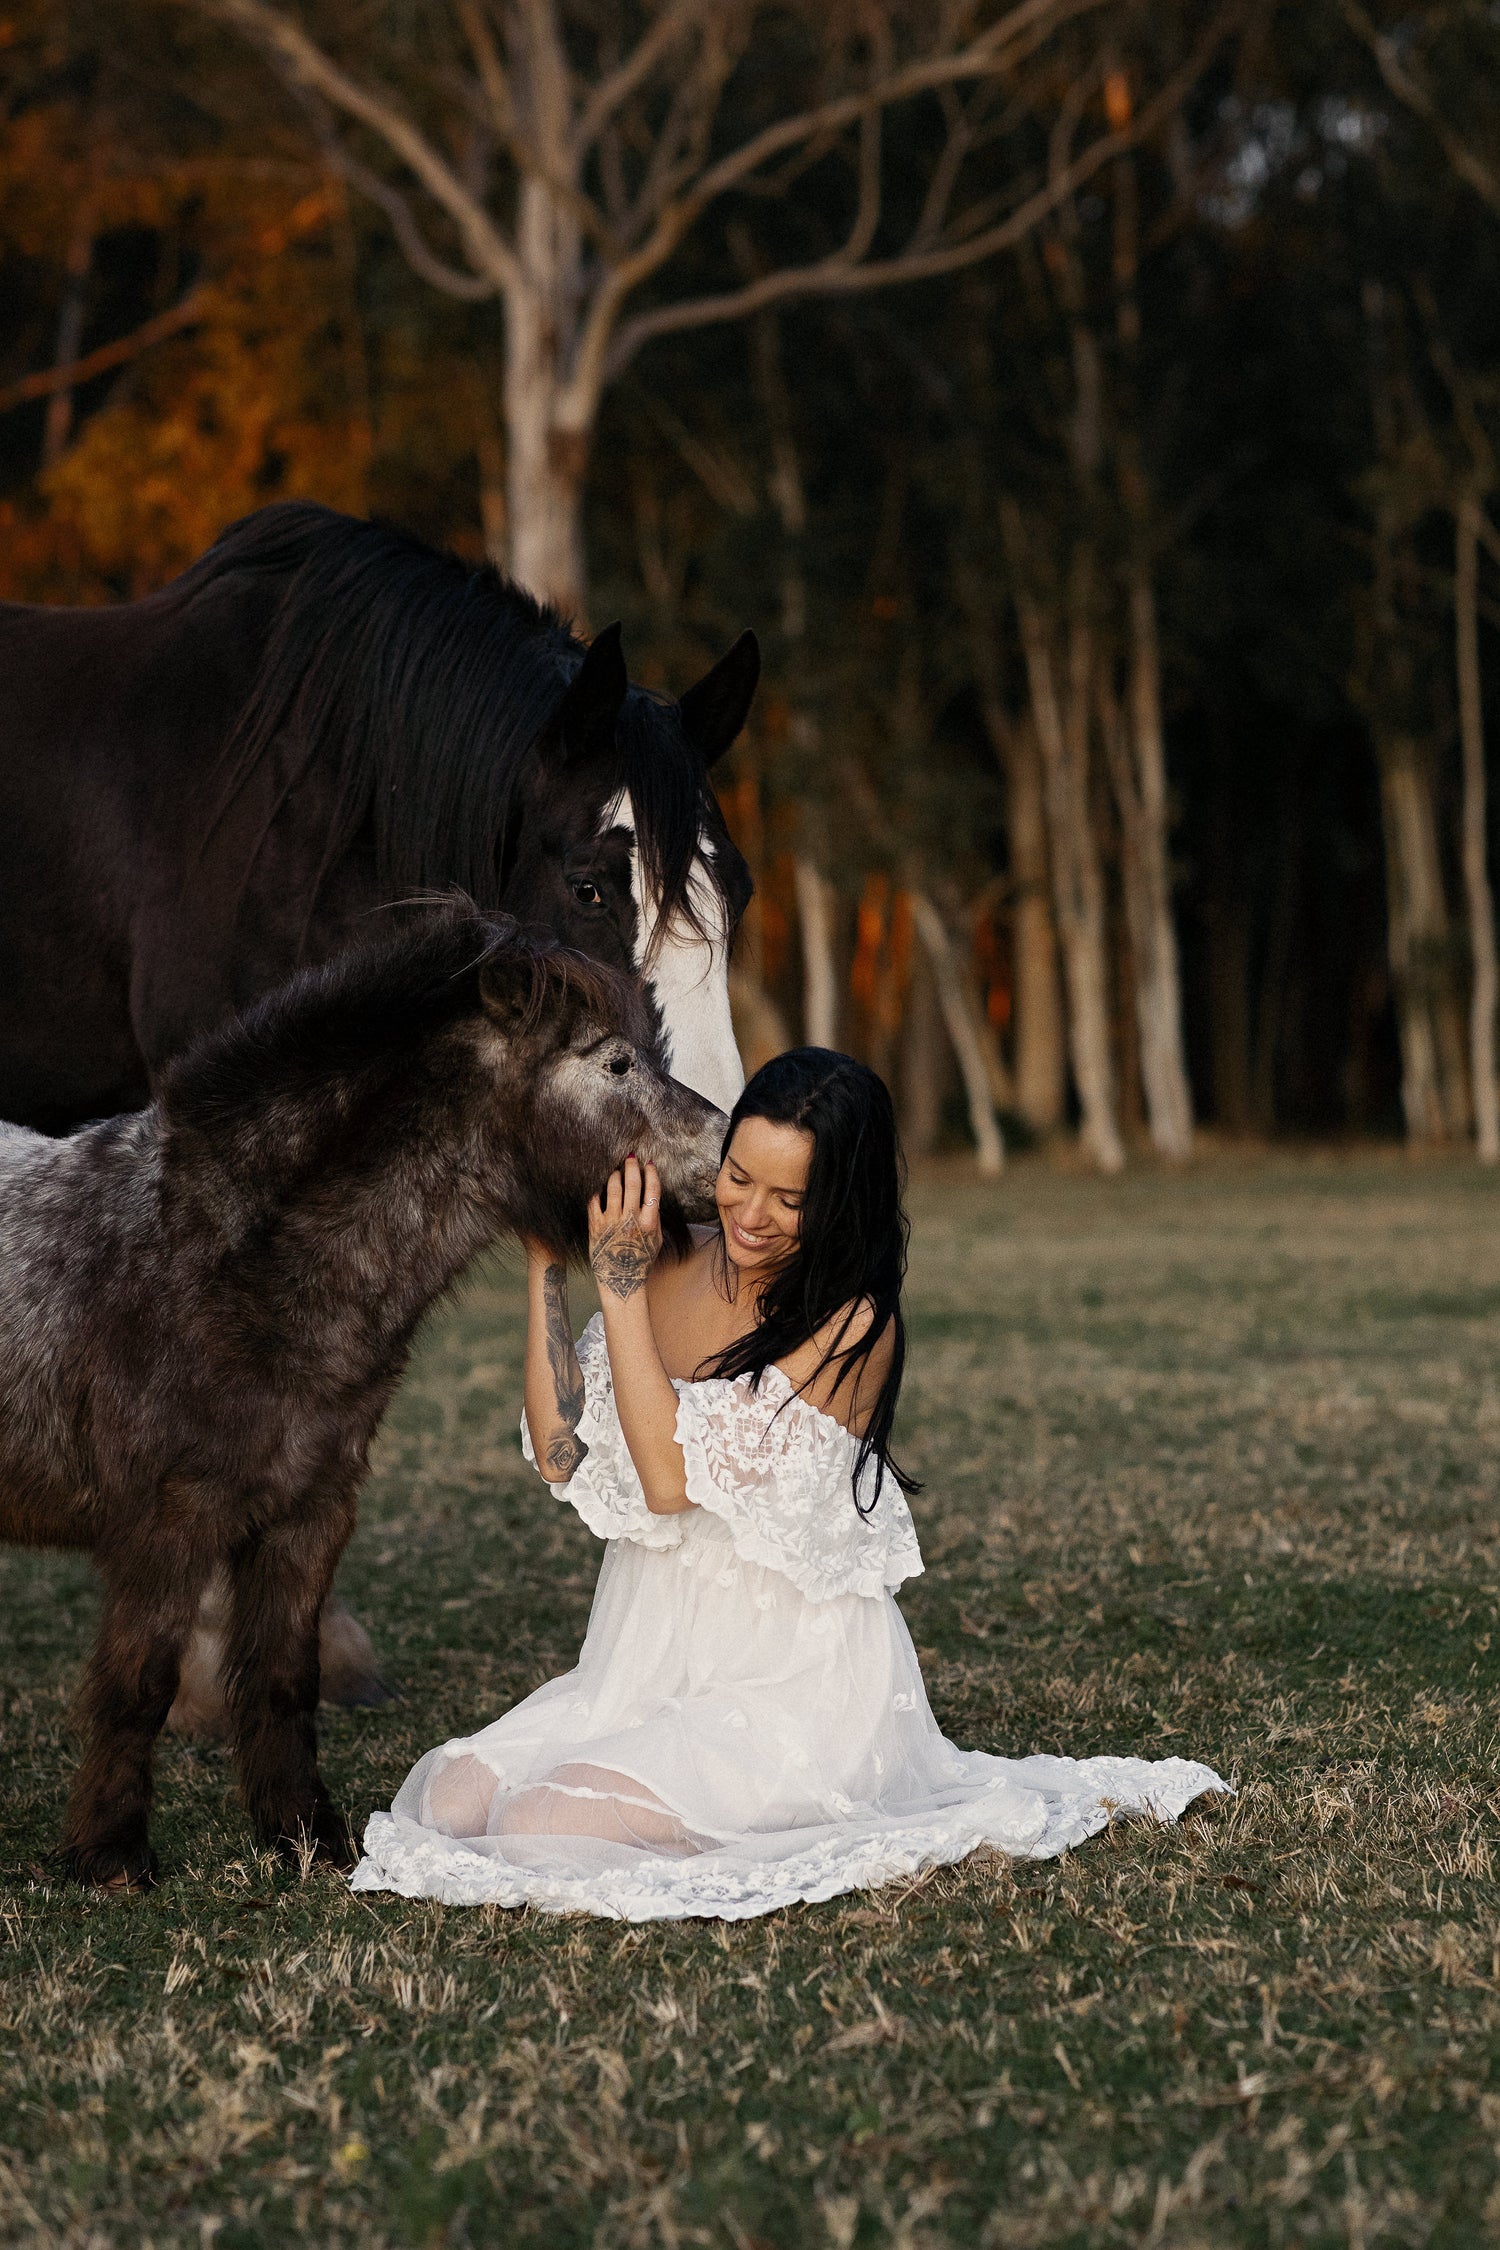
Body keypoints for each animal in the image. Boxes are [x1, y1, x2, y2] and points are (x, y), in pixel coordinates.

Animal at [0, 905, 726, 1889]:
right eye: (616, 1063)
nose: (728, 1152)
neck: (218, 1258)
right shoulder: (168, 1528)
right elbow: (139, 1684)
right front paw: (110, 1856)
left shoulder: (310, 1514)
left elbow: (281, 1679)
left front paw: (306, 1837)